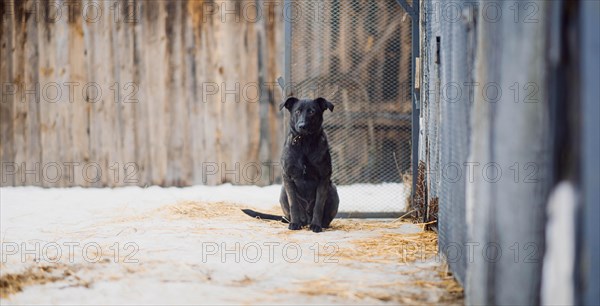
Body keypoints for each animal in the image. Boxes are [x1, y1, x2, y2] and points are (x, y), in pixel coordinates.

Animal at [243, 97, 338, 232]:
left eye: (312, 112)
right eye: (297, 111)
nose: (302, 126)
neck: (305, 143)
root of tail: (307, 220)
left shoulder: (324, 178)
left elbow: (319, 205)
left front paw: (316, 225)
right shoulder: (288, 177)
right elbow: (294, 204)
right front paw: (295, 223)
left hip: (333, 189)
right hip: (283, 191)